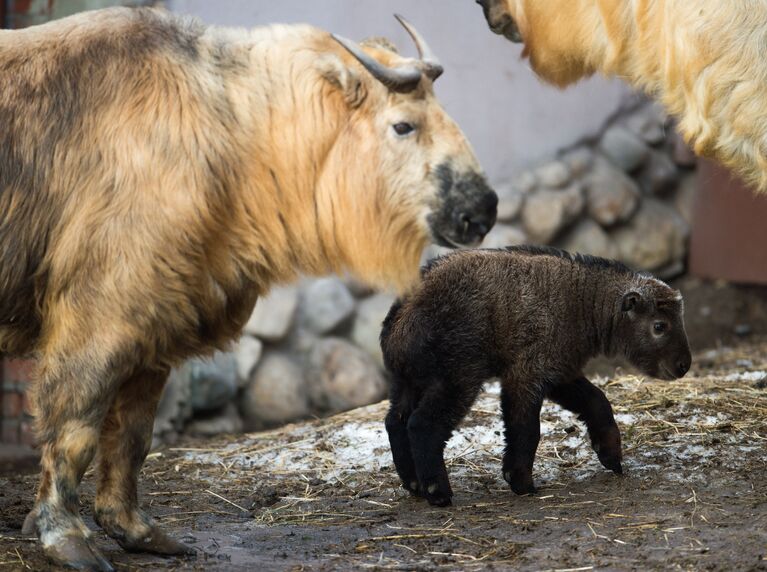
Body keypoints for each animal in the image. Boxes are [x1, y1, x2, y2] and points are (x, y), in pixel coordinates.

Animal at [0, 6, 498, 568]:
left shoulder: (152, 329)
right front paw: (66, 538)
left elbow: (132, 437)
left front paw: (134, 529)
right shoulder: (99, 320)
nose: (482, 211)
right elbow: (75, 431)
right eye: (404, 125)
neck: (232, 130)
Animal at [380, 246, 692, 504]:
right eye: (660, 326)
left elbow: (597, 401)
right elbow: (526, 428)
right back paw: (437, 492)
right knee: (423, 424)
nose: (684, 365)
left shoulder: (559, 371)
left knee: (396, 421)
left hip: (407, 381)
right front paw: (520, 481)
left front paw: (611, 455)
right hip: (456, 375)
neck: (582, 303)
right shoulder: (527, 373)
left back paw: (414, 484)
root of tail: (401, 317)